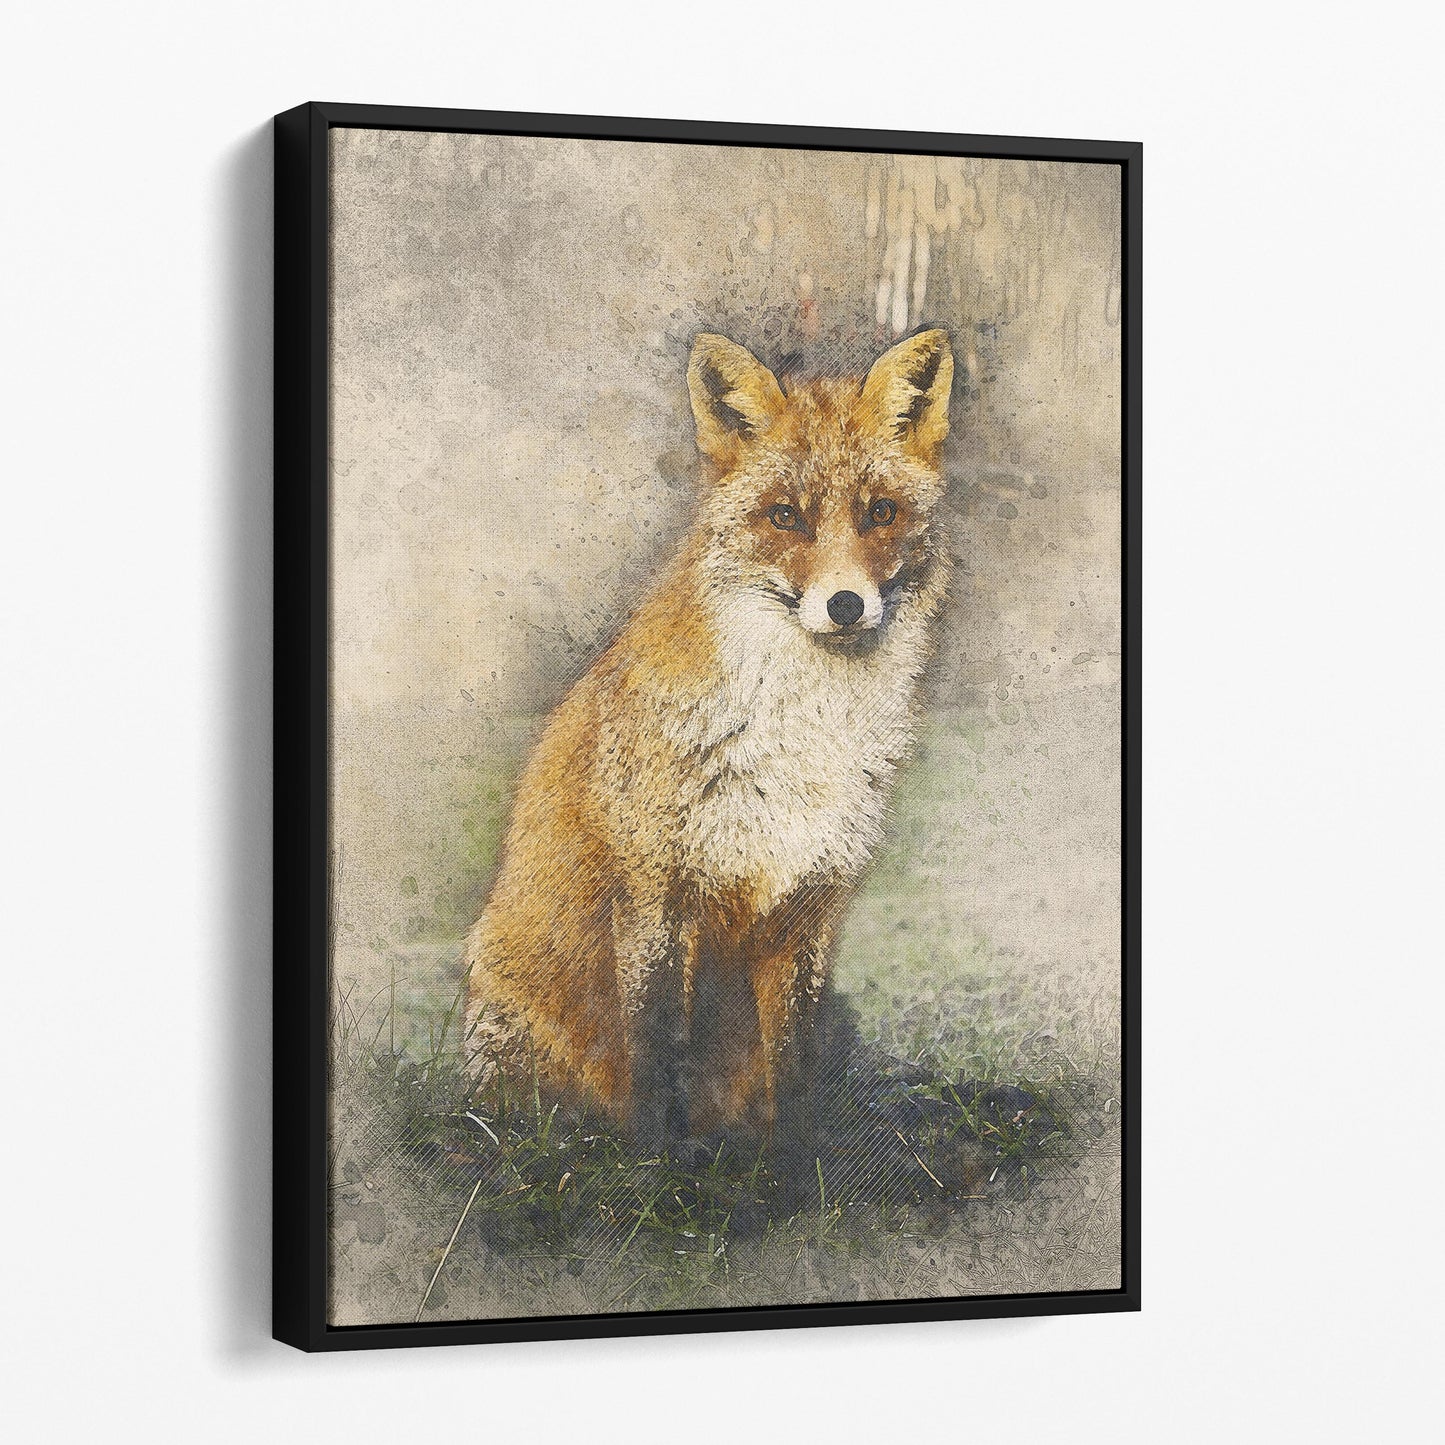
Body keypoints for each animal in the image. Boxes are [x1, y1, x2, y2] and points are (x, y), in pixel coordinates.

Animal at [463, 326, 954, 1149]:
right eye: (784, 517)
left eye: (880, 511)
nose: (845, 604)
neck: (801, 736)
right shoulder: (655, 896)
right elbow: (658, 1050)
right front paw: (655, 1166)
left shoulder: (808, 908)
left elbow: (792, 1067)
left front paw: (797, 1167)